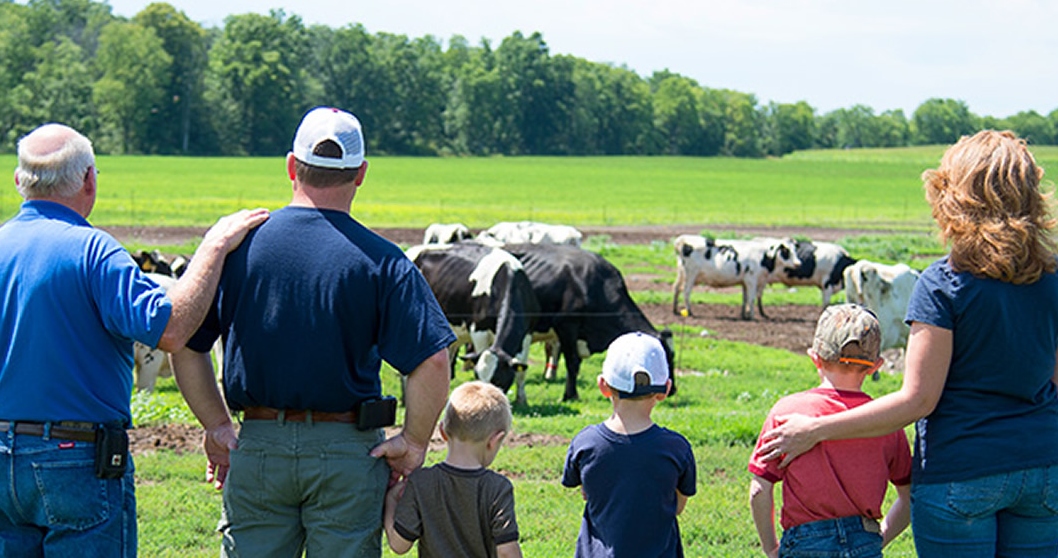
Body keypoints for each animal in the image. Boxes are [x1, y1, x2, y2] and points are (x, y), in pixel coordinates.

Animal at [402, 242, 541, 404]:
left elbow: (521, 371)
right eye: (477, 376)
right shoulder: (479, 330)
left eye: (498, 381)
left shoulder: (527, 333)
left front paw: (521, 399)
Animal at [668, 236, 799, 321]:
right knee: (686, 292)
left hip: (682, 274)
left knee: (676, 288)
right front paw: (751, 316)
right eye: (786, 250)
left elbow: (745, 299)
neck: (763, 256)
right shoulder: (751, 279)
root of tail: (683, 240)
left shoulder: (746, 282)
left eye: (795, 249)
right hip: (690, 275)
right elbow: (751, 299)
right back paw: (690, 312)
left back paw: (675, 310)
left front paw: (744, 315)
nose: (798, 263)